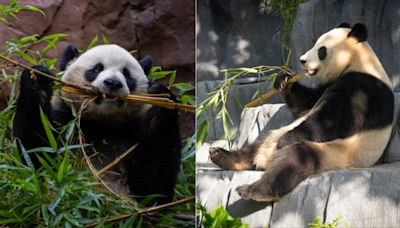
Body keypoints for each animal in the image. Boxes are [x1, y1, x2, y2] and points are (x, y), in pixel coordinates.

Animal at [12, 43, 181, 204]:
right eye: (97, 68)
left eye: (126, 74)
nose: (113, 83)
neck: (100, 125)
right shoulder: (64, 123)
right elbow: (35, 159)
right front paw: (39, 78)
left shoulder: (132, 134)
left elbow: (153, 189)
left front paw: (160, 99)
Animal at [209, 22, 394, 201]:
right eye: (315, 43)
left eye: (321, 50)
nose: (302, 60)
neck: (360, 62)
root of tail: (265, 160)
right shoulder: (327, 87)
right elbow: (306, 105)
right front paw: (283, 81)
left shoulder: (362, 88)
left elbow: (331, 120)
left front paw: (285, 141)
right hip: (276, 135)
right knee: (257, 143)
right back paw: (223, 156)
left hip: (336, 154)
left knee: (294, 159)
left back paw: (254, 190)